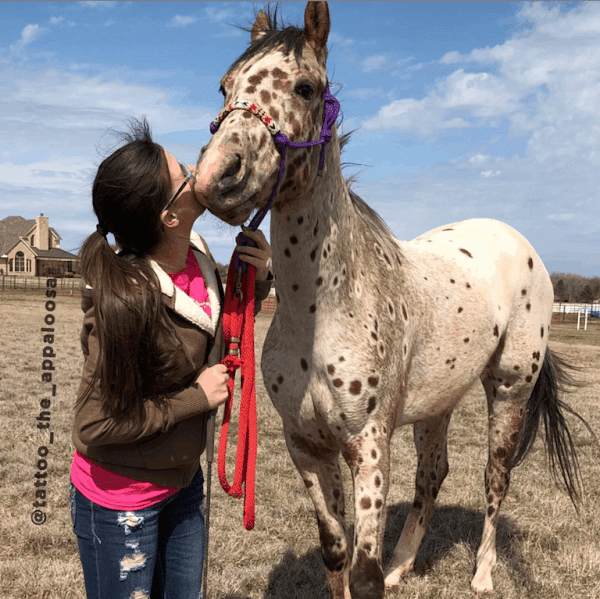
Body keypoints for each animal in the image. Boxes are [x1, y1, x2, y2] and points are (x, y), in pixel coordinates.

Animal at [193, 2, 592, 596]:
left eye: (307, 88)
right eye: (224, 86)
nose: (217, 176)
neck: (323, 308)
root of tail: (521, 246)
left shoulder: (370, 447)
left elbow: (364, 573)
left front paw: (389, 571)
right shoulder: (306, 447)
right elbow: (335, 552)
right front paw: (376, 565)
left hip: (509, 389)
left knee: (495, 478)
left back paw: (482, 575)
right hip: (439, 402)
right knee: (434, 475)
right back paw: (405, 563)